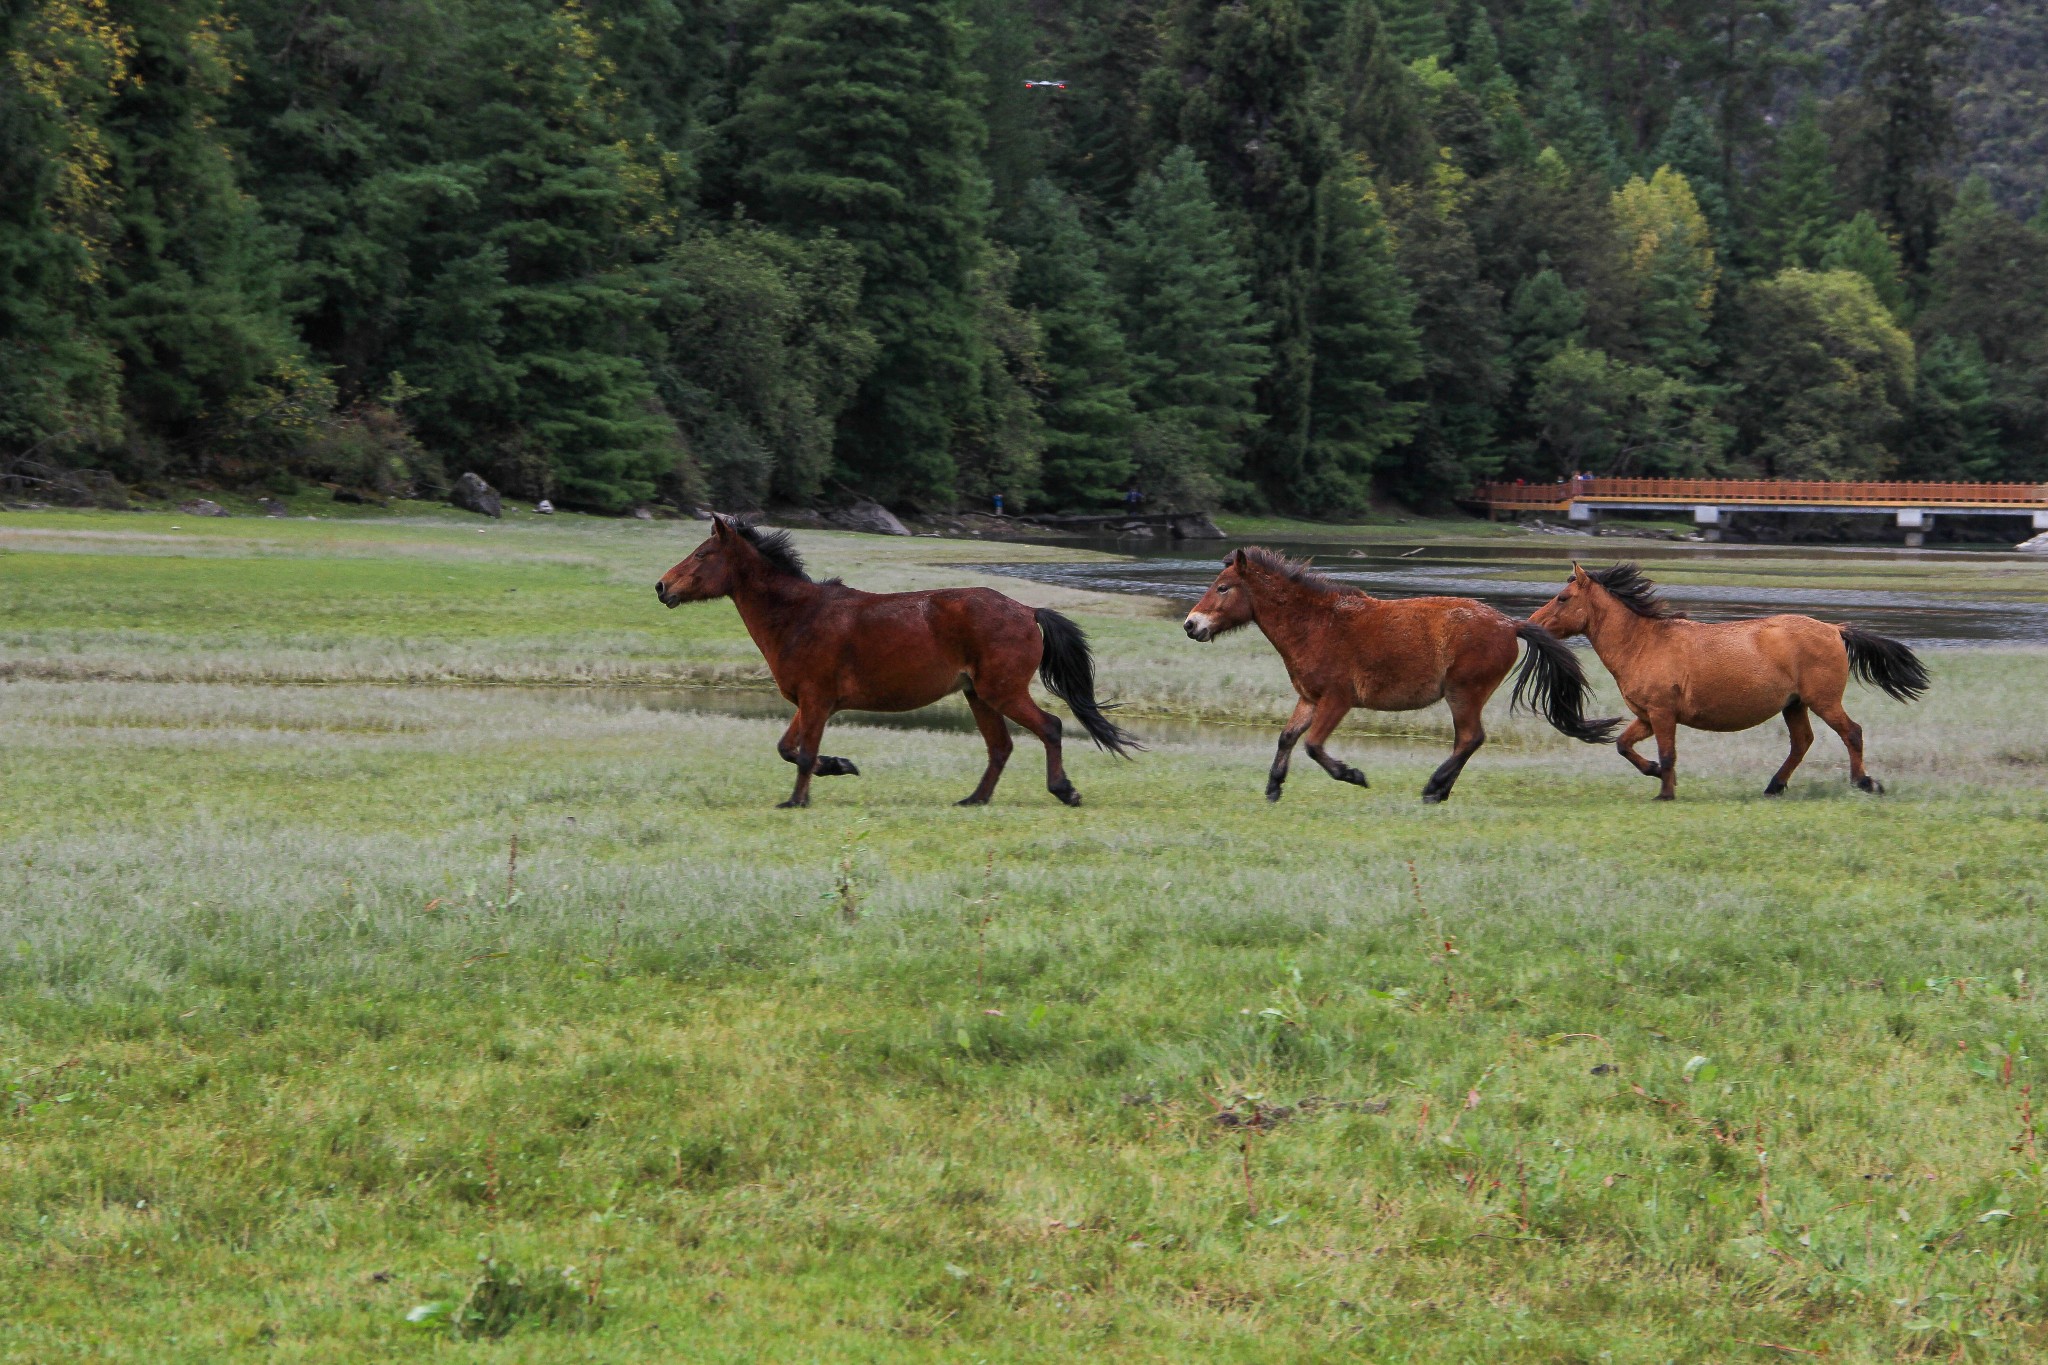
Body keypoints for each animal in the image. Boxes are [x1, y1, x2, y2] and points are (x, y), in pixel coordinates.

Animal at [655, 517, 1138, 806]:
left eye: (702, 555)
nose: (661, 587)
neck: (800, 616)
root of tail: (1027, 610)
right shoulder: (810, 704)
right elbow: (788, 748)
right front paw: (840, 766)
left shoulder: (816, 700)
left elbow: (804, 753)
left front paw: (797, 800)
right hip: (979, 696)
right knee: (1000, 746)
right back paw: (974, 800)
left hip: (1002, 692)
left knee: (1050, 728)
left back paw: (1064, 791)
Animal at [1187, 544, 1613, 802]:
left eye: (1223, 588)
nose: (1192, 625)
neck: (1317, 625)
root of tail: (1509, 624)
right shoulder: (1309, 698)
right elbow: (1287, 737)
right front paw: (1274, 787)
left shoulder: (1337, 701)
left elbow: (1312, 745)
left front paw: (1352, 775)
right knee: (1467, 741)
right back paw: (1440, 790)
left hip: (1464, 693)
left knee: (1470, 738)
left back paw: (1433, 788)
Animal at [1531, 564, 1925, 802]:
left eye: (1563, 598)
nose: (1533, 624)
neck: (1644, 643)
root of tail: (1834, 629)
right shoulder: (1647, 717)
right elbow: (1624, 746)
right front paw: (1655, 774)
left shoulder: (1662, 713)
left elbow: (1668, 753)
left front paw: (1665, 793)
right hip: (1794, 705)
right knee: (1802, 743)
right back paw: (1774, 786)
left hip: (1823, 701)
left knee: (1851, 733)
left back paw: (1865, 782)